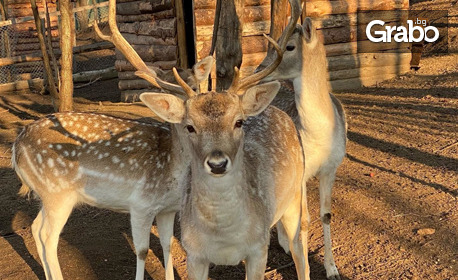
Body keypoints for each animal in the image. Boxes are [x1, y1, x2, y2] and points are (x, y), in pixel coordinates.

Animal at [258, 18, 348, 280]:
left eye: (289, 46)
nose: (259, 69)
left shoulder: (331, 168)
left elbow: (326, 215)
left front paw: (332, 269)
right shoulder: (302, 174)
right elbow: (305, 221)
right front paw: (304, 263)